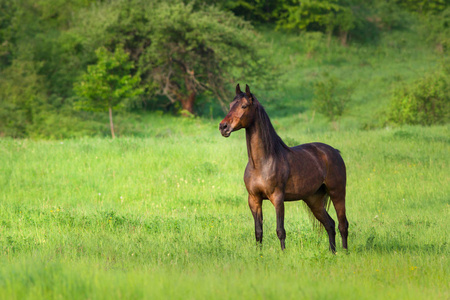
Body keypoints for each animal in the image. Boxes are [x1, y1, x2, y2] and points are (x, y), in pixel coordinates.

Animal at [220, 84, 350, 253]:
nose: (223, 127)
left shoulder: (278, 198)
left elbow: (280, 230)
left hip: (337, 193)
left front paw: (283, 253)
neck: (262, 163)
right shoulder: (254, 199)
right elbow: (258, 232)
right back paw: (332, 252)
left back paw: (345, 253)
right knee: (330, 224)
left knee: (342, 225)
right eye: (230, 105)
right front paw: (259, 255)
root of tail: (334, 151)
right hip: (313, 200)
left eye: (244, 106)